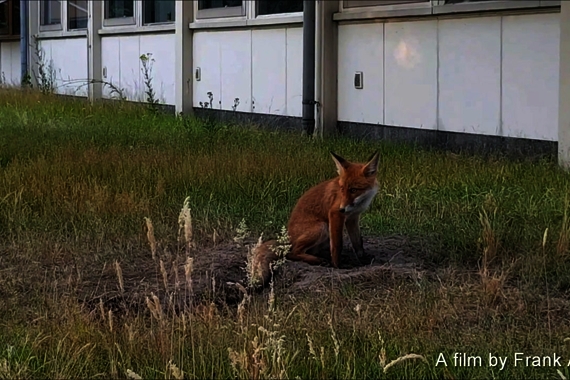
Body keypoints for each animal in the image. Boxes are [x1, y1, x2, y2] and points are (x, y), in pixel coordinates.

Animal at [252, 151, 378, 284]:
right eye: (342, 189)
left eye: (353, 190)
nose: (342, 209)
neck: (360, 202)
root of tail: (287, 238)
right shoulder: (335, 214)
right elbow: (337, 244)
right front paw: (337, 265)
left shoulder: (353, 218)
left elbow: (358, 242)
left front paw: (362, 260)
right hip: (322, 227)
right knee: (291, 253)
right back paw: (318, 260)